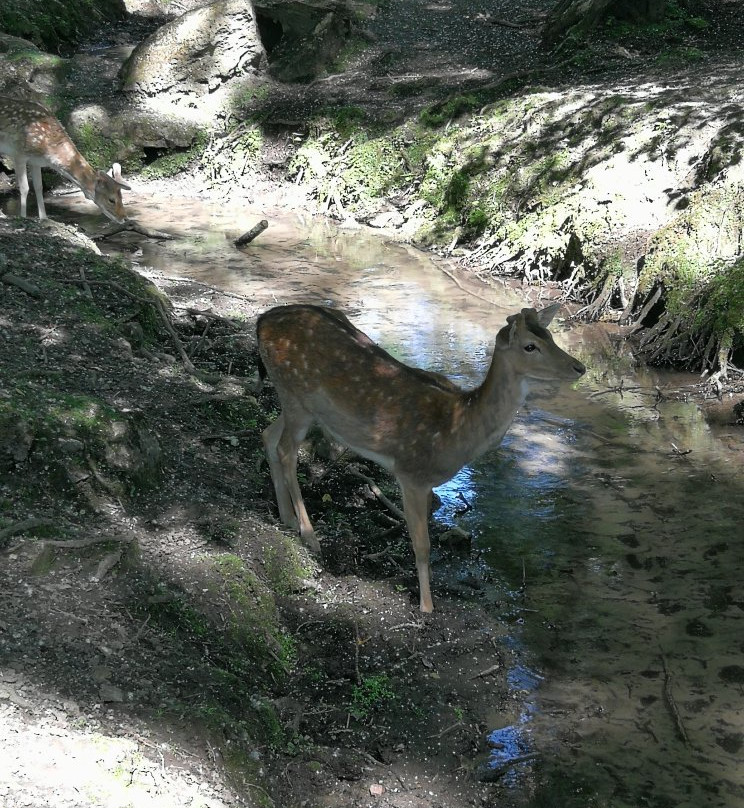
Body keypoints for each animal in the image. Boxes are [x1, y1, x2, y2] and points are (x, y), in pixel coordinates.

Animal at [0, 94, 129, 221]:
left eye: (121, 197)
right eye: (111, 199)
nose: (124, 217)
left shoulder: (36, 162)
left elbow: (38, 187)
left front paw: (44, 218)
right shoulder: (19, 153)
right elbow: (24, 187)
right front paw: (22, 216)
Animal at [258, 304, 588, 612]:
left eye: (550, 336)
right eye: (530, 346)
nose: (579, 367)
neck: (458, 431)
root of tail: (261, 321)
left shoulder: (429, 484)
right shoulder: (411, 473)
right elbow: (422, 544)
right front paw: (427, 606)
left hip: (297, 403)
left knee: (268, 435)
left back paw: (286, 517)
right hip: (296, 394)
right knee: (286, 451)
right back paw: (309, 535)